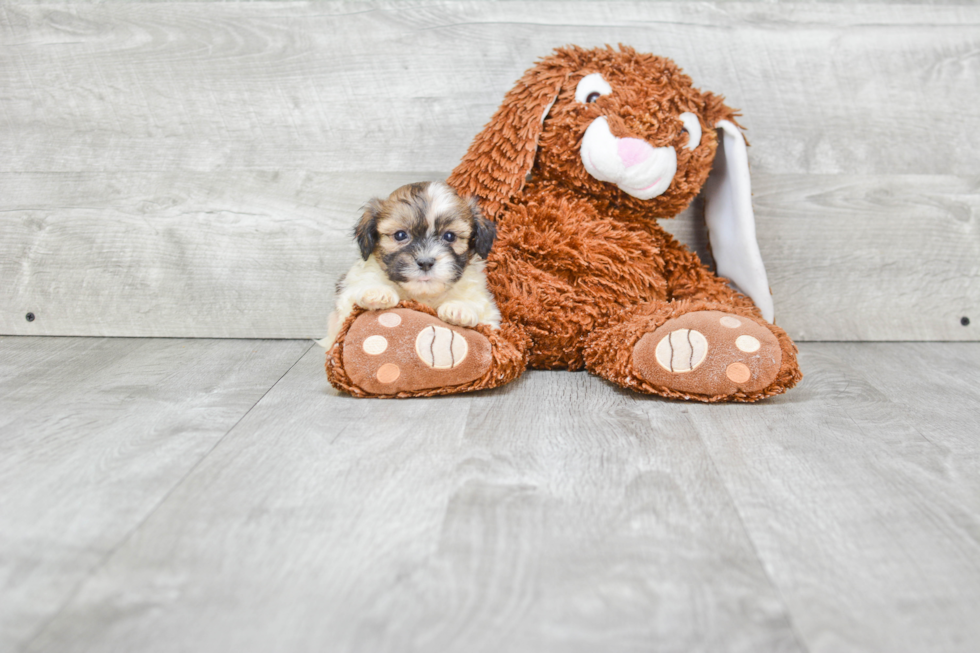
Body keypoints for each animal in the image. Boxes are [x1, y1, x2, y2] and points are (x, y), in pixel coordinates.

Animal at [322, 181, 502, 348]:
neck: (422, 295)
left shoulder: (489, 312)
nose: (425, 262)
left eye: (449, 236)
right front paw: (377, 292)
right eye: (400, 235)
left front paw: (460, 308)